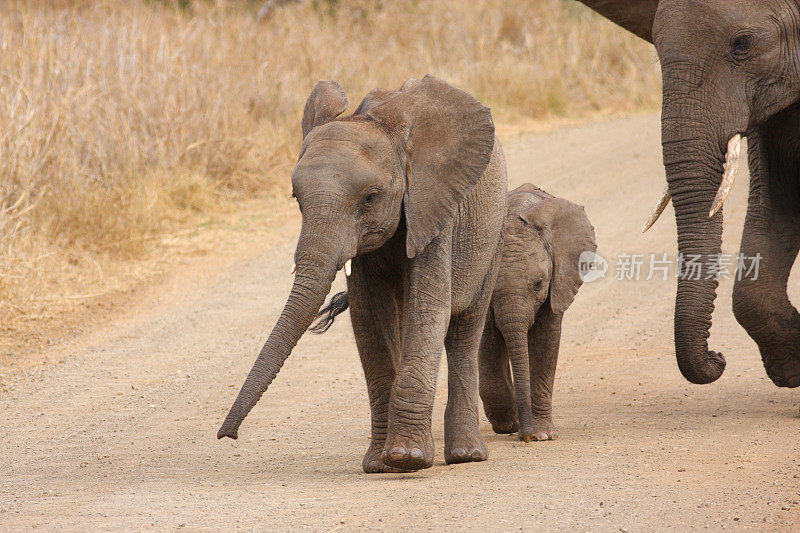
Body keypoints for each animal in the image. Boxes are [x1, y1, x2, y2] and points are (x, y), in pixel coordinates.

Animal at [476, 183, 592, 440]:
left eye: (539, 283)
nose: (525, 436)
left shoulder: (557, 283)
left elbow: (544, 343)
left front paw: (543, 435)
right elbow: (487, 341)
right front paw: (508, 424)